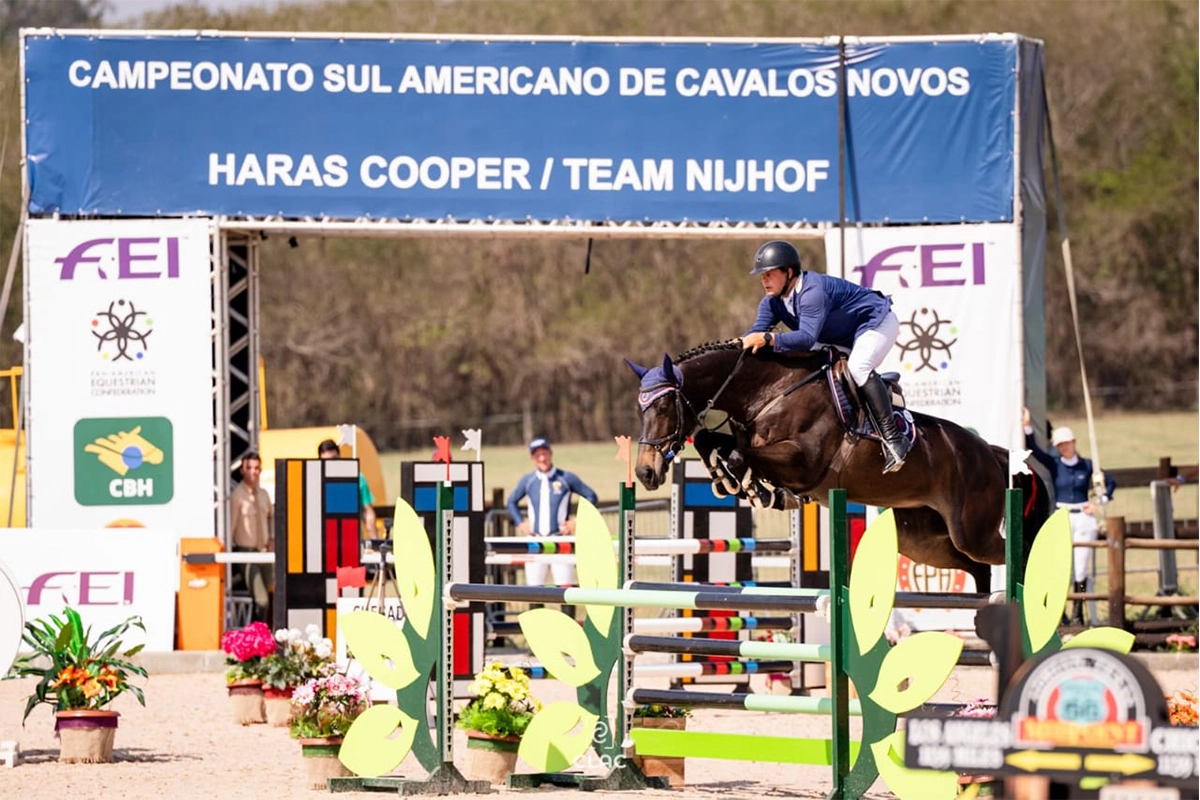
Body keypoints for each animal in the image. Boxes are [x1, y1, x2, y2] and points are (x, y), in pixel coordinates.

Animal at [626, 341, 1049, 592]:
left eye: (662, 407)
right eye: (640, 409)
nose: (645, 472)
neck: (769, 392)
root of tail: (991, 452)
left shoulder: (803, 461)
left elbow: (742, 456)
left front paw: (754, 486)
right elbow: (714, 443)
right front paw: (737, 482)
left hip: (971, 530)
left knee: (1019, 551)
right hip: (925, 542)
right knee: (978, 568)